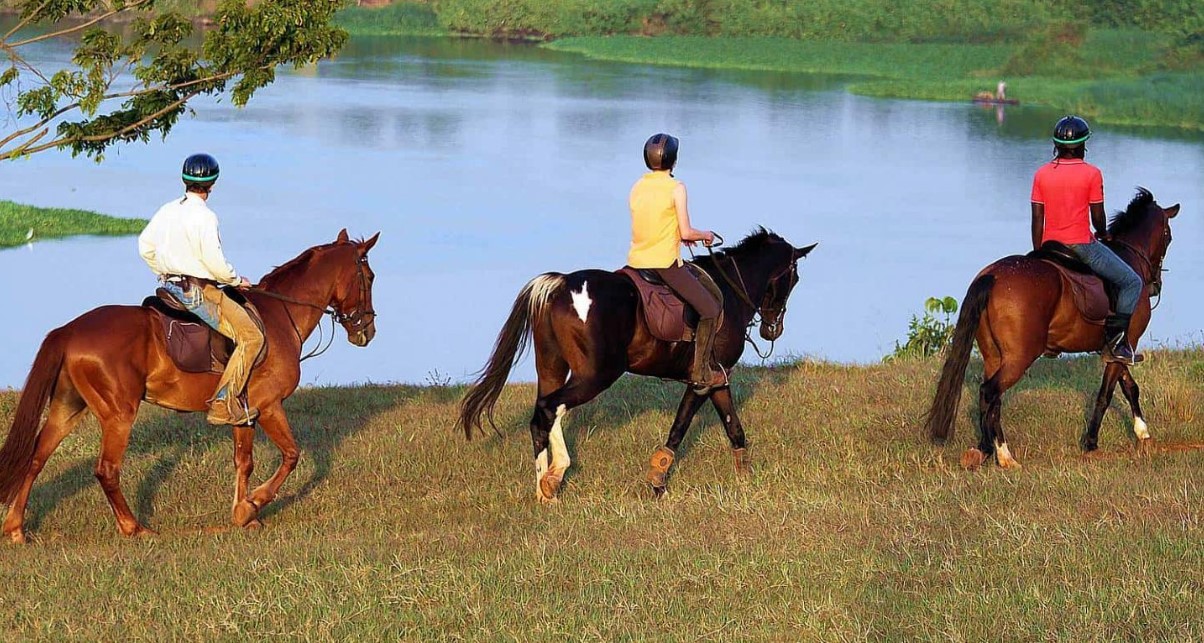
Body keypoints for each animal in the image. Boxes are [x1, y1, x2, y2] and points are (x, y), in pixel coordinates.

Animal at [0, 229, 379, 543]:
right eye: (370, 277)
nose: (368, 331)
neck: (279, 317)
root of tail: (69, 331)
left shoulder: (244, 413)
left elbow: (244, 461)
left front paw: (243, 514)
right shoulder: (269, 406)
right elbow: (290, 455)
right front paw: (251, 506)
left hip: (67, 407)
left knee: (36, 459)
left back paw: (16, 528)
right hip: (118, 414)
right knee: (106, 470)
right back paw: (133, 527)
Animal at [457, 229, 816, 501]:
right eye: (794, 278)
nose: (772, 329)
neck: (728, 291)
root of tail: (560, 284)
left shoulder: (719, 378)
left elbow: (734, 428)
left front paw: (745, 477)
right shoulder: (703, 379)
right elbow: (680, 427)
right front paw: (658, 481)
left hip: (552, 368)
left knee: (543, 413)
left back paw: (546, 488)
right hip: (596, 374)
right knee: (549, 408)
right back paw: (554, 477)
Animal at [925, 188, 1179, 468]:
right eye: (1168, 235)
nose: (1155, 284)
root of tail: (992, 276)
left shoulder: (1115, 348)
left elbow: (1129, 387)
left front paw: (1143, 433)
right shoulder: (1127, 341)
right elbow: (1106, 394)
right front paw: (1091, 443)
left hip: (994, 355)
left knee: (991, 399)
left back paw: (989, 449)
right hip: (1019, 357)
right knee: (989, 392)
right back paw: (1001, 454)